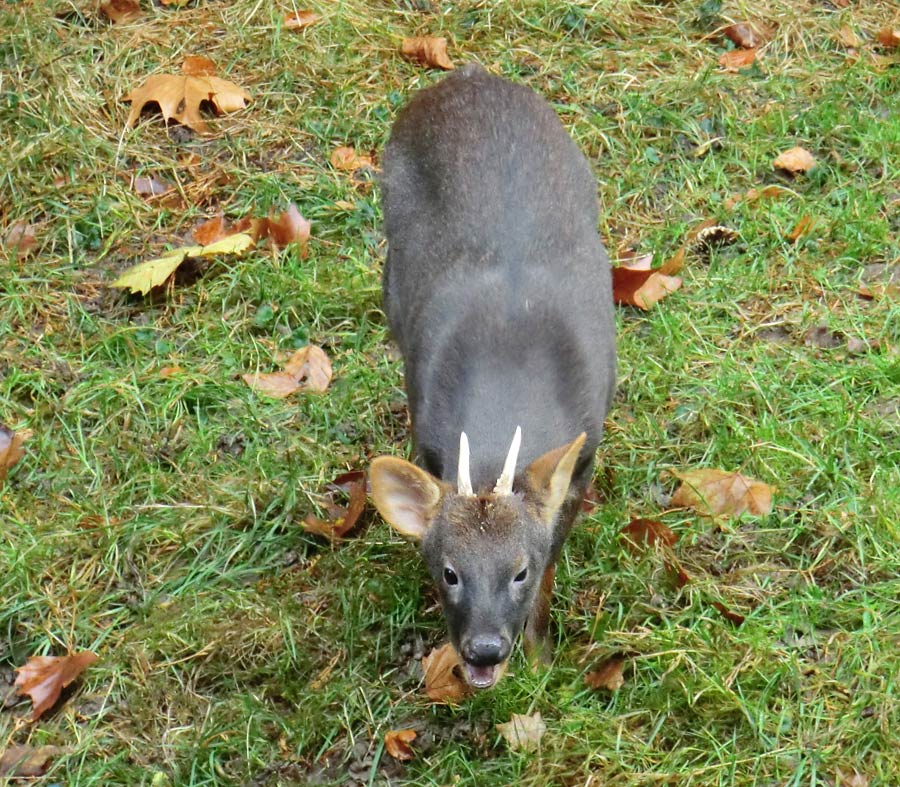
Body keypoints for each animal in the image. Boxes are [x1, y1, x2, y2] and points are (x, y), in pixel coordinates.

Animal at [370, 66, 616, 688]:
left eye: (519, 570)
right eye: (449, 572)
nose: (483, 650)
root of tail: (467, 76)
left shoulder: (582, 462)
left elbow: (555, 556)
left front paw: (541, 653)